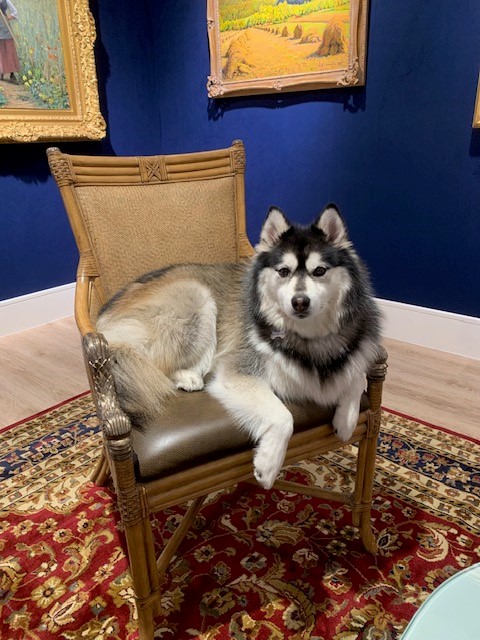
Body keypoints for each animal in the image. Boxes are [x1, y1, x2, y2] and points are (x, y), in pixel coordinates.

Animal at [96, 205, 382, 490]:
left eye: (320, 271)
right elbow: (283, 416)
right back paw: (187, 377)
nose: (300, 301)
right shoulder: (236, 372)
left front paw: (347, 420)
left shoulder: (358, 354)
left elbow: (356, 378)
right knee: (151, 365)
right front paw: (269, 463)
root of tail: (109, 309)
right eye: (283, 272)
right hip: (197, 299)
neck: (309, 338)